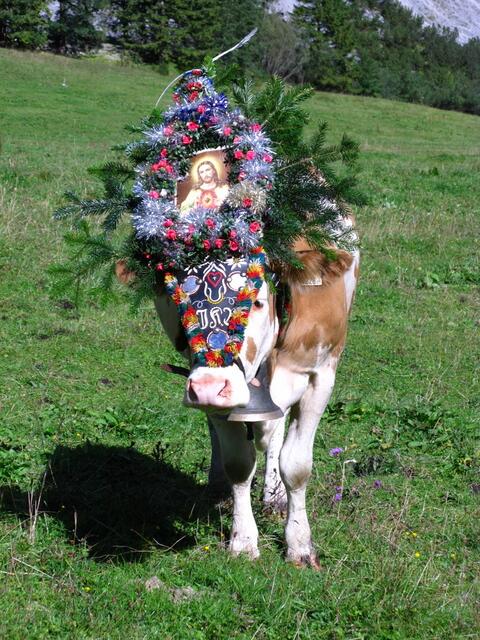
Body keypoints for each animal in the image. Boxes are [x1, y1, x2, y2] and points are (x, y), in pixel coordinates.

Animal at [116, 225, 359, 568]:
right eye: (179, 301)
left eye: (256, 302)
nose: (208, 387)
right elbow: (239, 464)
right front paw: (243, 541)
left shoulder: (320, 376)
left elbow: (296, 466)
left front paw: (299, 544)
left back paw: (274, 495)